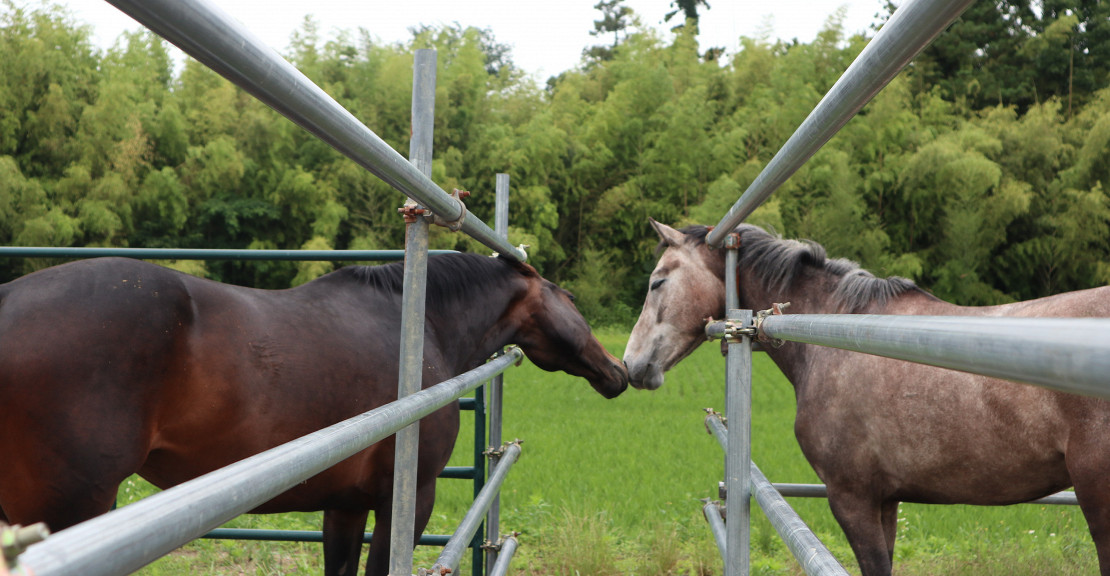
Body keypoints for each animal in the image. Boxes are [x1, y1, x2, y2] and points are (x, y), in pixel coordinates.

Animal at [0, 254, 630, 576]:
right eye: (571, 297)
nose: (618, 371)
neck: (419, 321)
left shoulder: (344, 505)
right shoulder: (408, 499)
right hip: (69, 506)